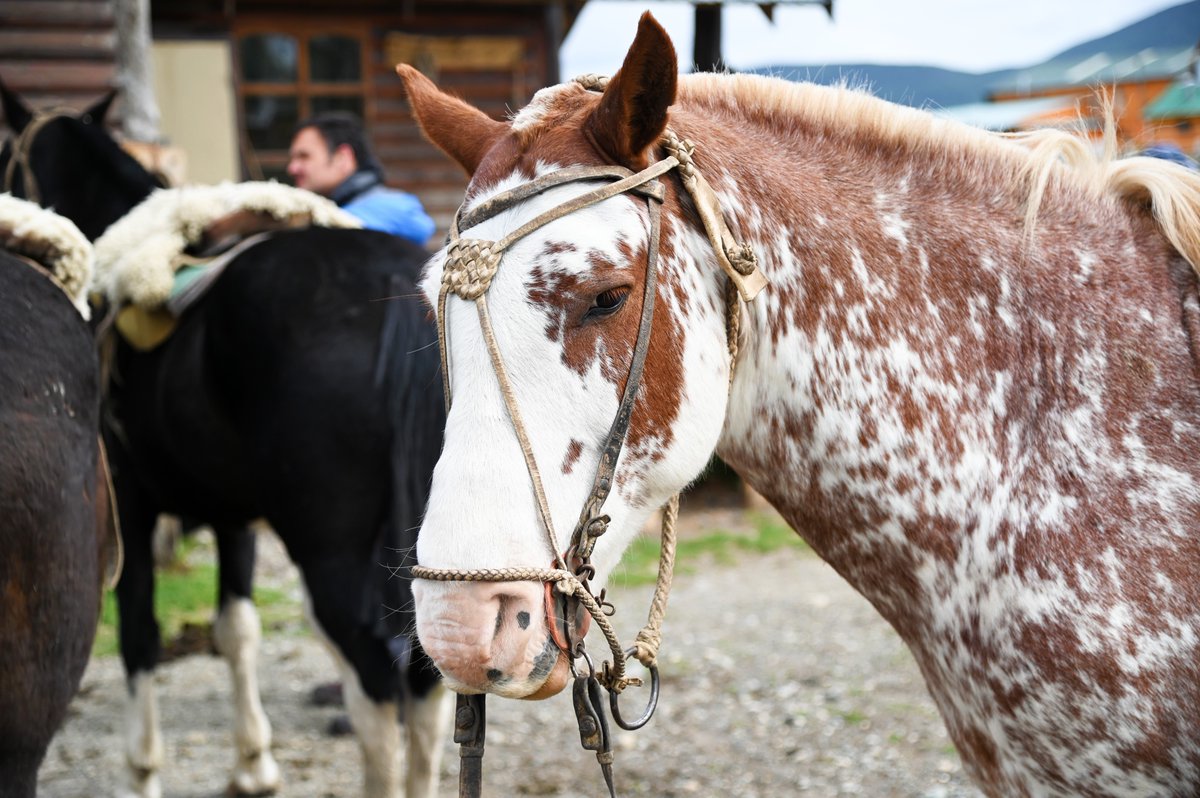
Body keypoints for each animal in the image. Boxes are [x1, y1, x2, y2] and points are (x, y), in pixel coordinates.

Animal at [3, 87, 451, 796]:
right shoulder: (232, 514)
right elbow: (236, 629)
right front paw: (253, 763)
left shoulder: (131, 507)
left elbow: (140, 634)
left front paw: (144, 770)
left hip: (327, 553)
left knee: (377, 688)